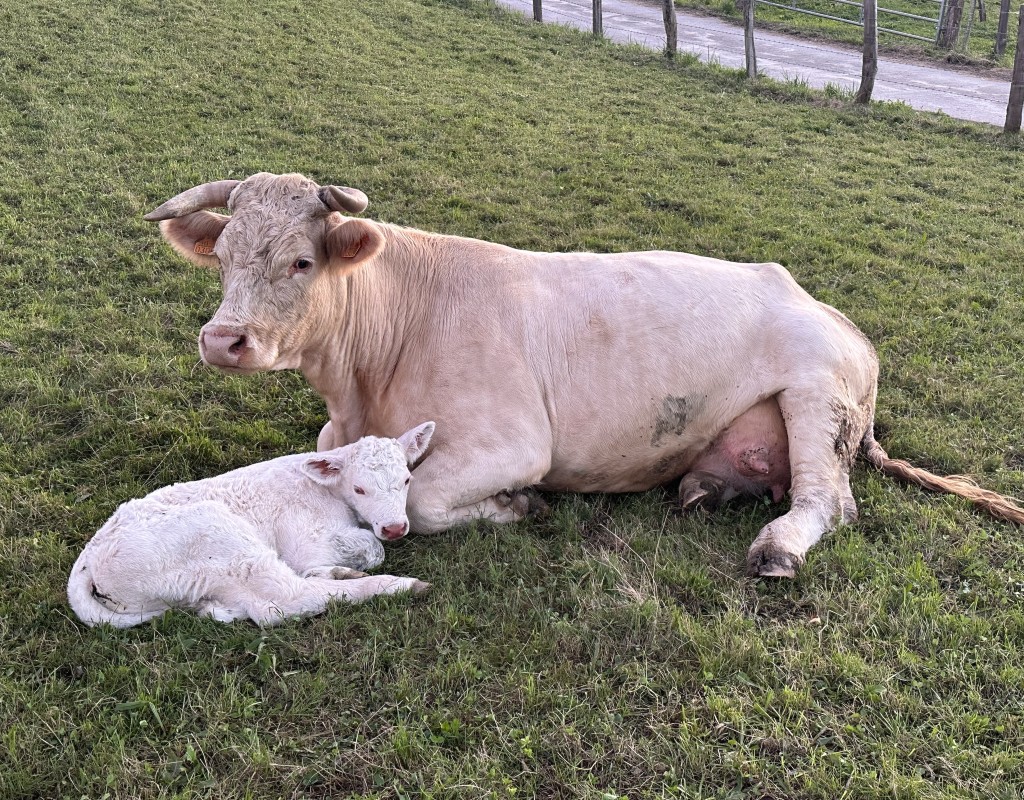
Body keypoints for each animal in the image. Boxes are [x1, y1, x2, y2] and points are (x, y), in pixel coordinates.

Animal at [67, 423, 434, 627]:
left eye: (406, 479)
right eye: (359, 489)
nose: (394, 528)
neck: (325, 490)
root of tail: (88, 560)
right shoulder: (304, 540)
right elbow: (372, 548)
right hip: (223, 542)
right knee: (285, 602)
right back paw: (400, 585)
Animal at [143, 172, 1024, 578]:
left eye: (300, 260)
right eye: (222, 255)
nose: (222, 340)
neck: (365, 378)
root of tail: (838, 317)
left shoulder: (510, 441)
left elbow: (425, 502)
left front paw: (517, 506)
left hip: (817, 396)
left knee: (827, 501)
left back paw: (777, 546)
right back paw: (708, 490)